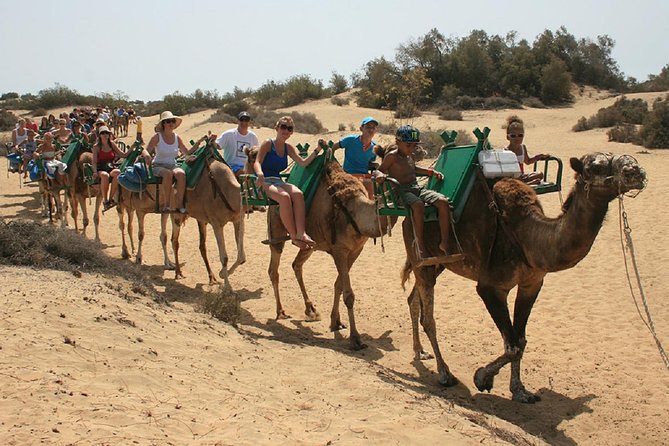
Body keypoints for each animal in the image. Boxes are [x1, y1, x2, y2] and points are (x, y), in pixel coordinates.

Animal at [170, 144, 245, 290]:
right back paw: (178, 272)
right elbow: (224, 257)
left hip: (200, 218)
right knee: (174, 240)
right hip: (175, 212)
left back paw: (211, 277)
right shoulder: (217, 224)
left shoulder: (238, 219)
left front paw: (221, 274)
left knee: (201, 245)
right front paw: (228, 287)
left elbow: (241, 256)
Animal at [247, 150, 396, 352]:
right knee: (273, 269)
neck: (356, 211)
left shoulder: (356, 250)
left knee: (296, 265)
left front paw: (336, 322)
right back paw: (281, 311)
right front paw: (355, 339)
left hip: (311, 243)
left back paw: (311, 309)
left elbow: (339, 285)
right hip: (276, 226)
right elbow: (349, 294)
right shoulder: (340, 250)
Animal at [400, 152, 644, 402]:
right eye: (596, 167)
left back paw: (420, 351)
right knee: (428, 317)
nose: (636, 172)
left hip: (437, 262)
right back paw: (444, 373)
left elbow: (520, 340)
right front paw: (482, 377)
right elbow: (512, 345)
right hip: (420, 255)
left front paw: (519, 390)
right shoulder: (491, 287)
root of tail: (408, 216)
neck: (529, 238)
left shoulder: (532, 283)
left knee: (413, 300)